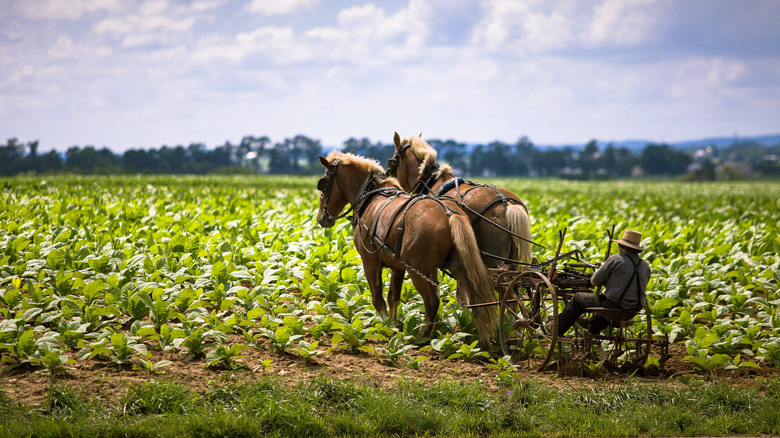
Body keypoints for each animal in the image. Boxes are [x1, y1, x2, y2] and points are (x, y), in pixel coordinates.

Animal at [314, 151, 496, 350]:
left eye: (324, 182)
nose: (321, 218)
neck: (371, 196)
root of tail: (450, 213)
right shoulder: (397, 265)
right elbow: (393, 297)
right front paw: (395, 328)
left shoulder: (369, 261)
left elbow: (378, 299)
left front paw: (387, 328)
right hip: (459, 268)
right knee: (477, 300)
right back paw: (483, 341)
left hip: (417, 271)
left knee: (432, 302)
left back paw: (422, 337)